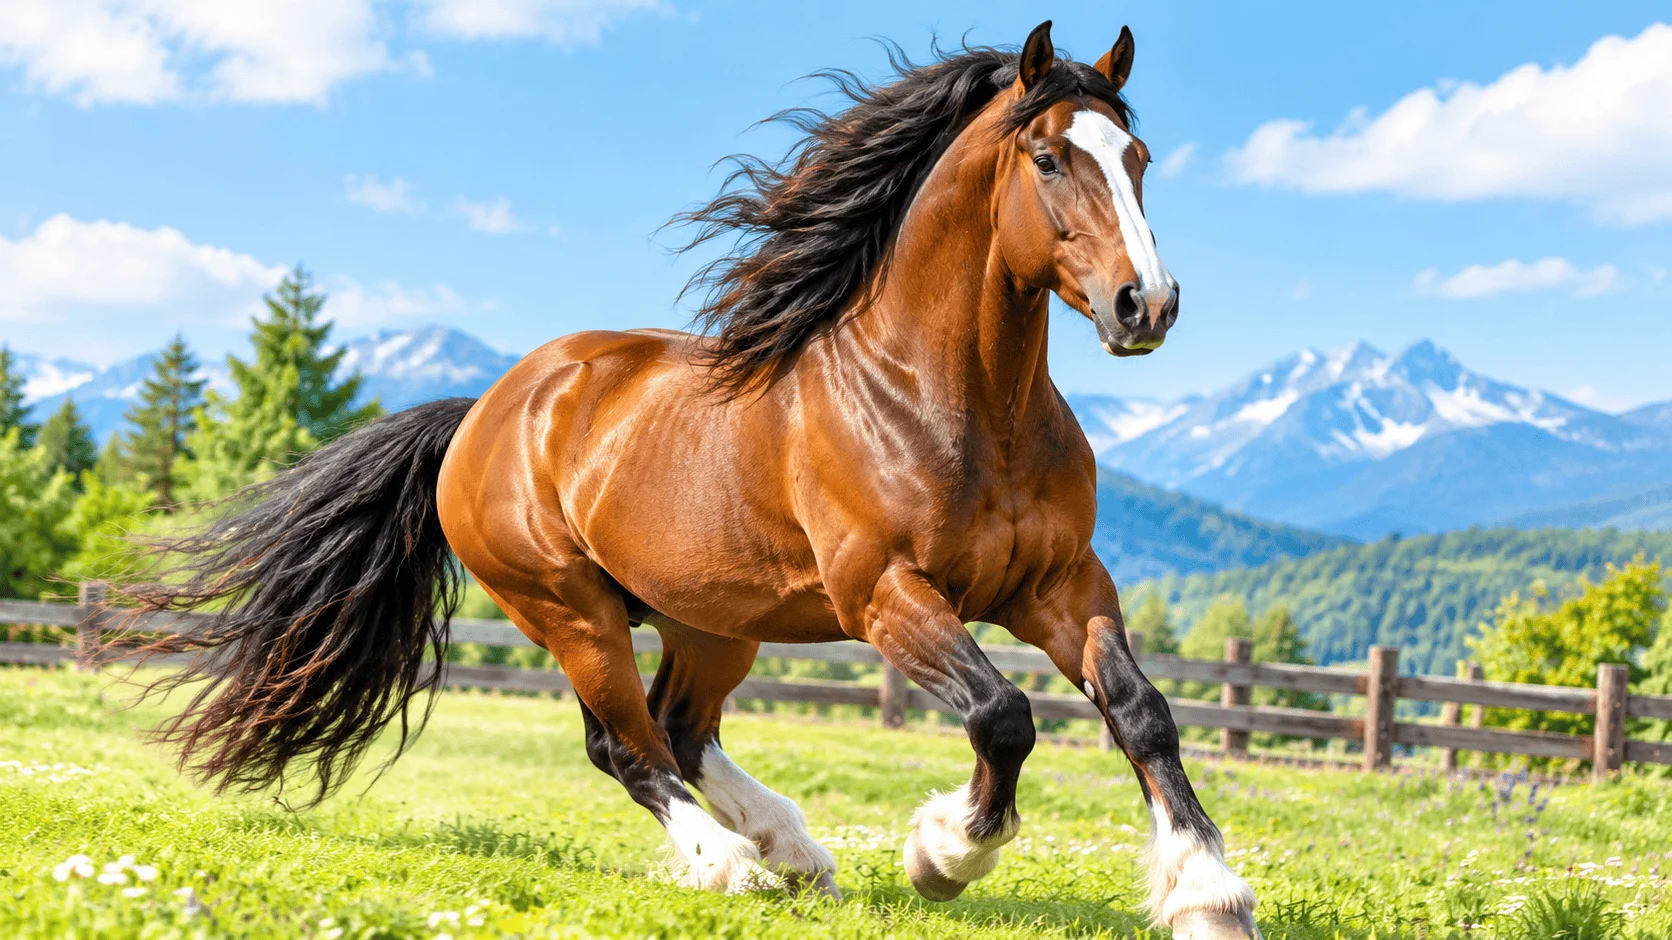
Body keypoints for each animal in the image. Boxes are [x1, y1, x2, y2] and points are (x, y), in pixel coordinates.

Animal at [128, 21, 1258, 939]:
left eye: (1138, 158)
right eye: (1049, 157)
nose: (1145, 305)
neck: (950, 399)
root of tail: (483, 412)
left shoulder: (1060, 582)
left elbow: (1141, 709)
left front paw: (1208, 895)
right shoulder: (887, 594)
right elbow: (1002, 714)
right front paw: (942, 851)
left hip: (713, 618)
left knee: (679, 727)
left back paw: (791, 849)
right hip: (571, 610)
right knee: (625, 746)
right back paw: (732, 864)